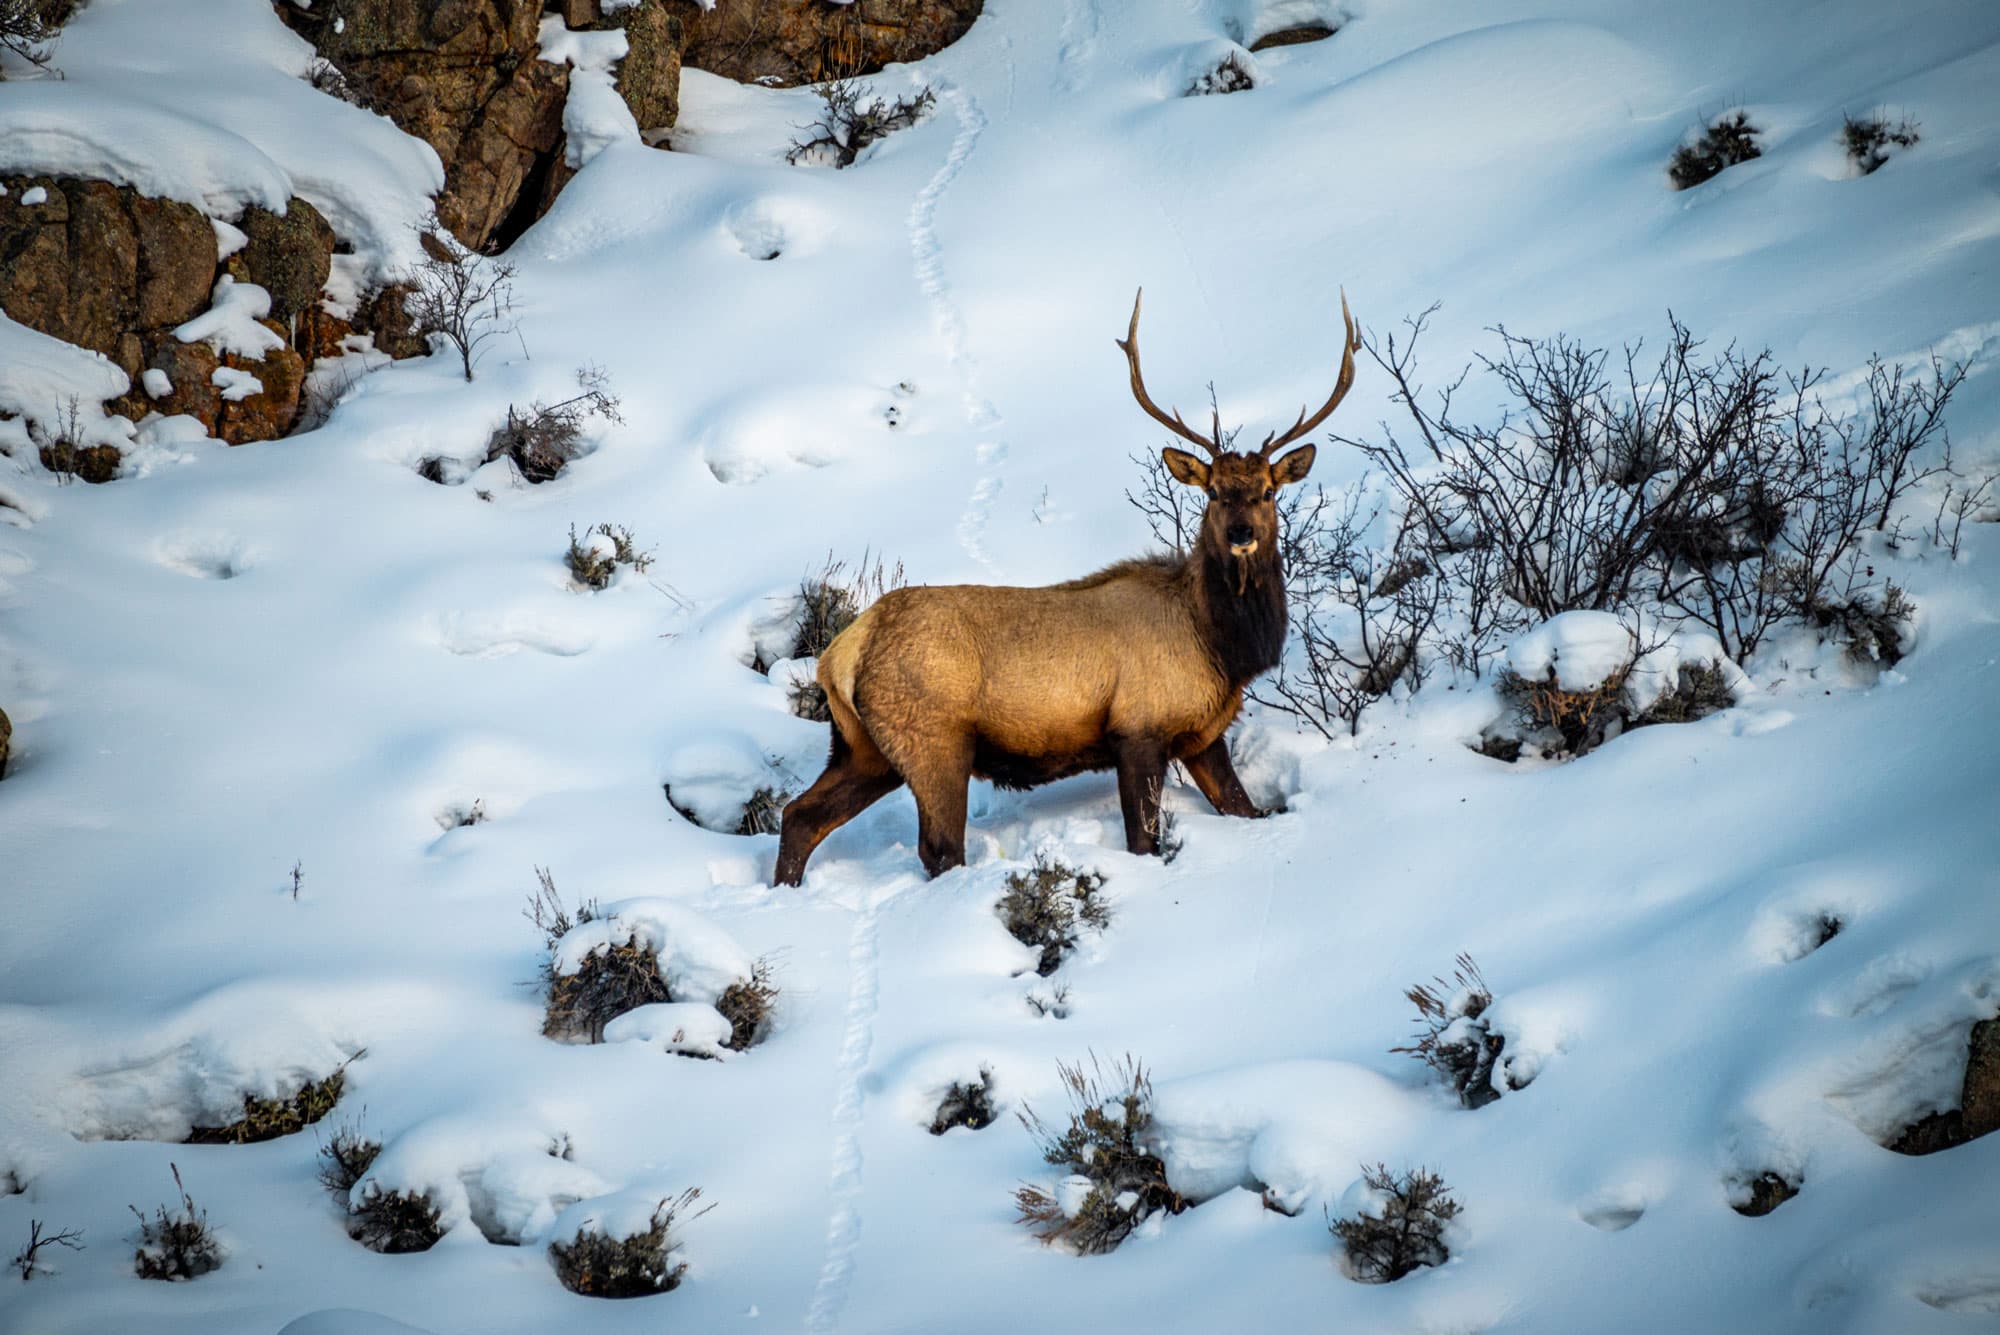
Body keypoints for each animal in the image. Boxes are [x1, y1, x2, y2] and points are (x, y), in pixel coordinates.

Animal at [772, 290, 1361, 886]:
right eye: (1214, 492)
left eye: (1267, 491)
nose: (1242, 534)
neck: (1220, 645)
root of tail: (840, 654)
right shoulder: (1137, 729)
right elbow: (1144, 841)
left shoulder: (1202, 735)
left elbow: (1246, 809)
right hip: (932, 740)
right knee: (938, 850)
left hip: (862, 748)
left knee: (800, 814)